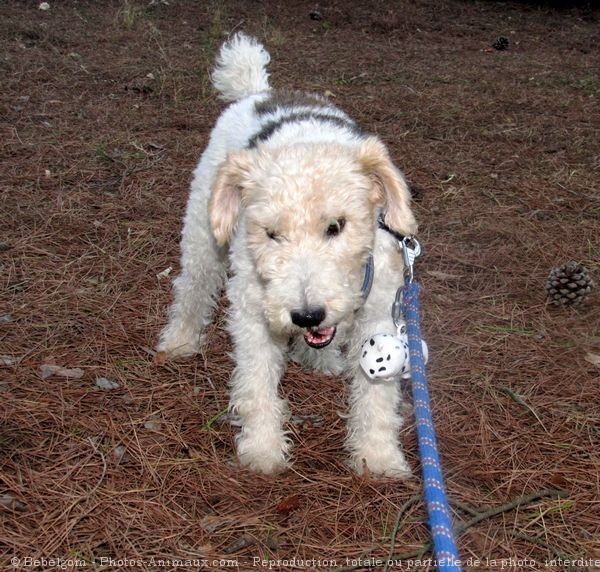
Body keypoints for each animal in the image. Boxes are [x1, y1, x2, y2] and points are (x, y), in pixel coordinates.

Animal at [159, 32, 422, 478]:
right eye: (270, 233)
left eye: (336, 226)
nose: (307, 315)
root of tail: (259, 91)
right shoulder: (253, 311)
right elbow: (256, 384)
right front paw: (263, 451)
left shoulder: (380, 316)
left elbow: (377, 399)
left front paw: (378, 458)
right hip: (203, 234)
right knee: (192, 287)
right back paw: (179, 340)